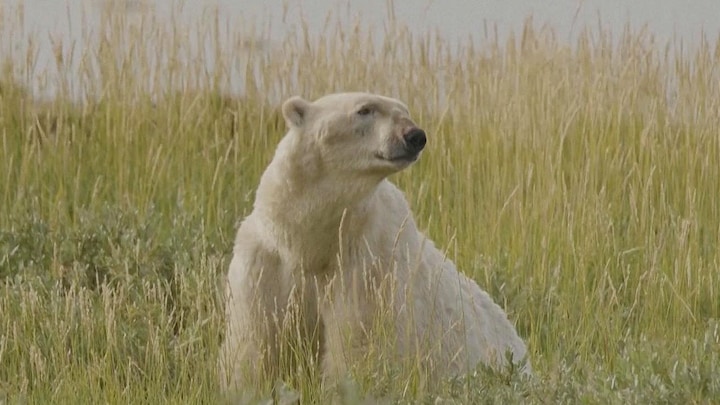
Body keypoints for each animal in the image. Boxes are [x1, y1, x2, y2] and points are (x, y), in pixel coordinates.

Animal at [219, 92, 528, 392]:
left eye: (405, 110)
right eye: (365, 109)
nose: (415, 135)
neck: (312, 243)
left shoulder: (367, 268)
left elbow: (358, 344)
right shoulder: (265, 264)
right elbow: (255, 342)